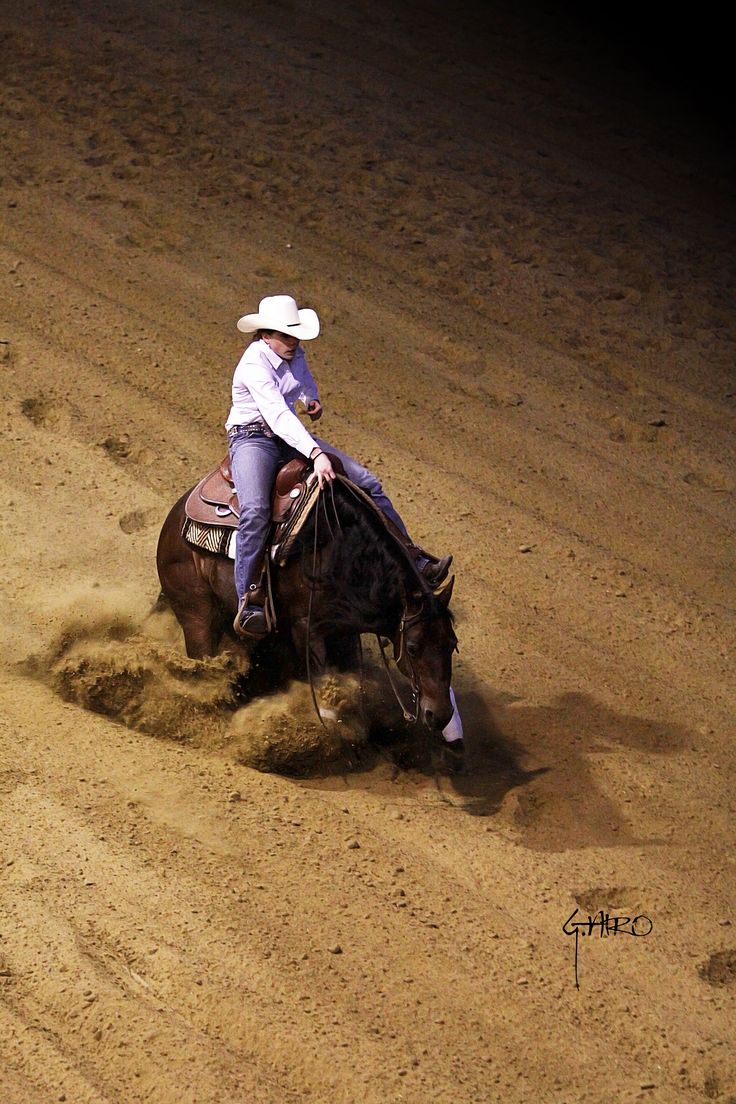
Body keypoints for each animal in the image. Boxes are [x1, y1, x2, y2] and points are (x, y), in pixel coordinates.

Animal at [156, 474, 456, 733]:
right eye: (413, 648)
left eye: (452, 644)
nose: (440, 716)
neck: (345, 555)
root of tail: (175, 516)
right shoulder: (306, 627)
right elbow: (322, 679)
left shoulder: (344, 632)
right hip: (196, 613)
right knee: (203, 664)